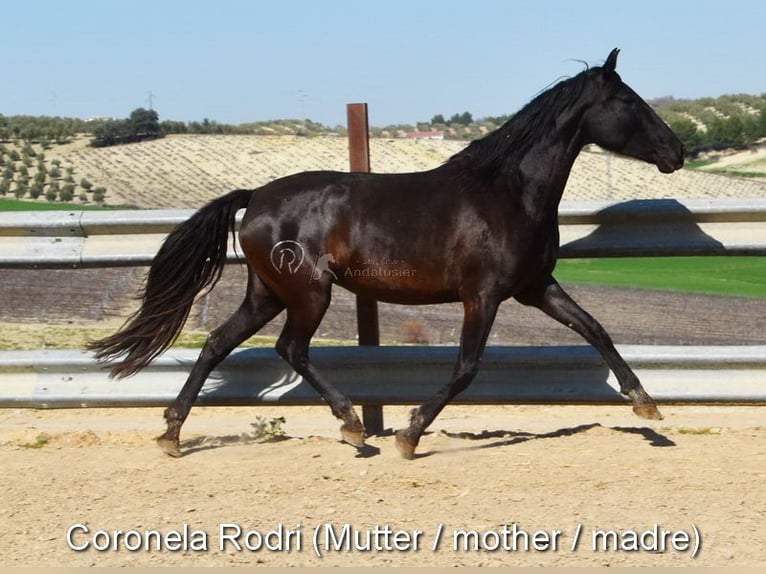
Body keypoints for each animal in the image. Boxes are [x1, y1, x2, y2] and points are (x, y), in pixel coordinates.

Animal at [88, 50, 684, 464]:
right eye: (629, 102)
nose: (676, 152)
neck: (507, 193)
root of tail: (255, 197)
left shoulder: (536, 287)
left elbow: (596, 329)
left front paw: (645, 403)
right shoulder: (483, 295)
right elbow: (467, 367)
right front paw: (409, 433)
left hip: (267, 294)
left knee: (217, 343)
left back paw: (172, 433)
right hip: (308, 293)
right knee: (289, 349)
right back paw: (354, 426)